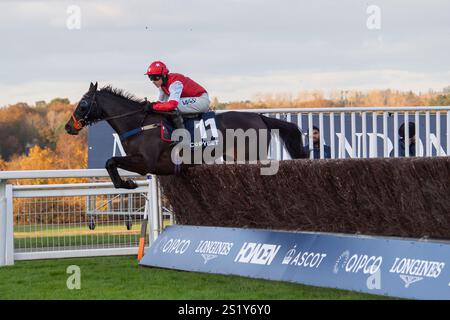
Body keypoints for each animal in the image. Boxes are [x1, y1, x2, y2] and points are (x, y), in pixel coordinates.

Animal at [65, 82, 308, 189]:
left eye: (83, 104)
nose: (68, 126)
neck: (139, 123)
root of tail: (259, 117)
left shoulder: (146, 163)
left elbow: (110, 161)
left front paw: (127, 183)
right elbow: (110, 162)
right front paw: (125, 183)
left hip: (251, 157)